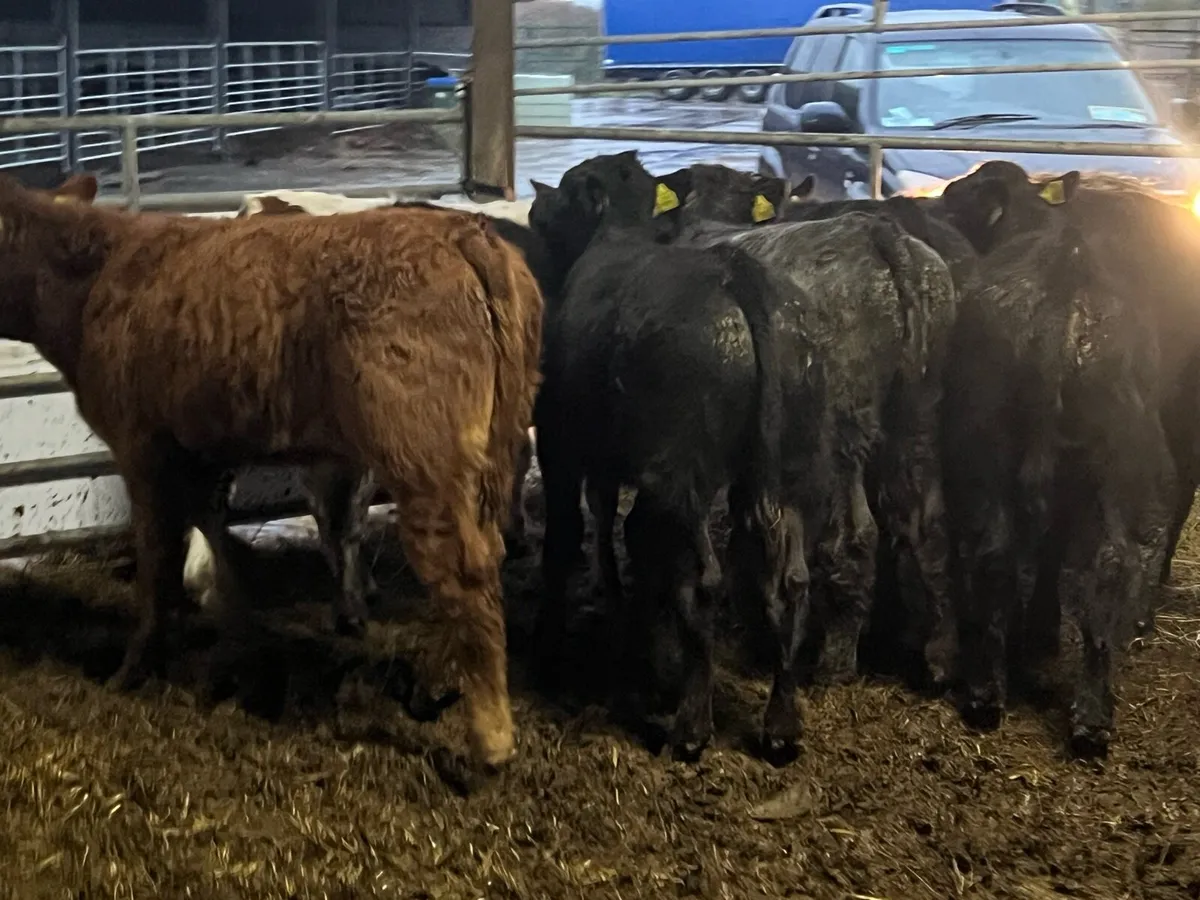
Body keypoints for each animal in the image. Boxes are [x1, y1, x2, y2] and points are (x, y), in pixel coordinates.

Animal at [0, 176, 542, 767]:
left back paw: (491, 739)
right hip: (496, 445)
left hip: (426, 461)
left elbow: (157, 561)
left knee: (464, 572)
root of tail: (464, 231)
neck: (96, 278)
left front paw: (133, 669)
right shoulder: (199, 450)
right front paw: (234, 633)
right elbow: (210, 535)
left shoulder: (141, 447)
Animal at [934, 160, 1175, 757]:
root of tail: (1068, 288)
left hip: (986, 442)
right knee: (1110, 562)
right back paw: (1091, 717)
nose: (942, 199)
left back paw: (986, 693)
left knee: (997, 550)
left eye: (965, 194)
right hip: (1112, 458)